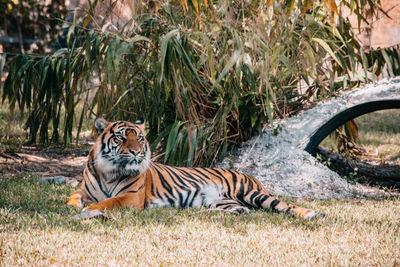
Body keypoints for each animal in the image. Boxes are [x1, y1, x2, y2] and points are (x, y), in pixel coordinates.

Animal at [65, 118, 322, 219]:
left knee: (283, 205)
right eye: (120, 138)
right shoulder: (84, 190)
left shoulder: (131, 197)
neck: (109, 170)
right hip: (218, 201)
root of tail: (252, 176)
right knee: (238, 210)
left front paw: (89, 210)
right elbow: (72, 197)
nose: (137, 152)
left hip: (252, 193)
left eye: (139, 138)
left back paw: (311, 213)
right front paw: (70, 207)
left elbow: (107, 202)